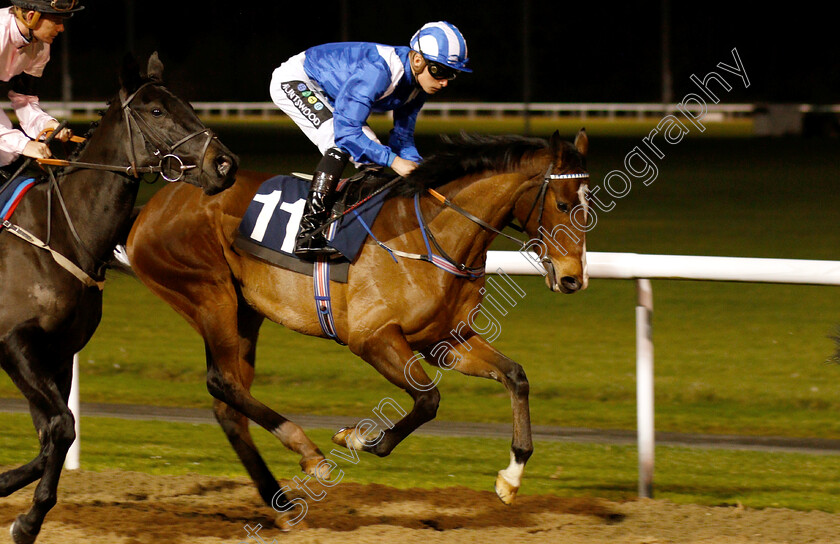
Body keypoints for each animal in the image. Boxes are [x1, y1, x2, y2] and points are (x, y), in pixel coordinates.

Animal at [0, 52, 236, 544]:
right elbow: (61, 427)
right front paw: (27, 517)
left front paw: (21, 507)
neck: (61, 234)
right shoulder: (13, 343)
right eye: (156, 110)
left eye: (189, 105)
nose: (225, 164)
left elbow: (53, 435)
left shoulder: (56, 354)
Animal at [128, 130, 592, 512]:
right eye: (563, 204)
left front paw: (510, 478)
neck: (432, 236)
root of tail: (152, 208)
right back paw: (310, 455)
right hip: (210, 295)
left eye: (589, 212)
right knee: (221, 382)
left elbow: (515, 376)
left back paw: (277, 497)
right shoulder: (373, 338)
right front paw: (358, 437)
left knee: (228, 401)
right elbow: (428, 400)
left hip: (245, 313)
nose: (573, 278)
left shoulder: (447, 340)